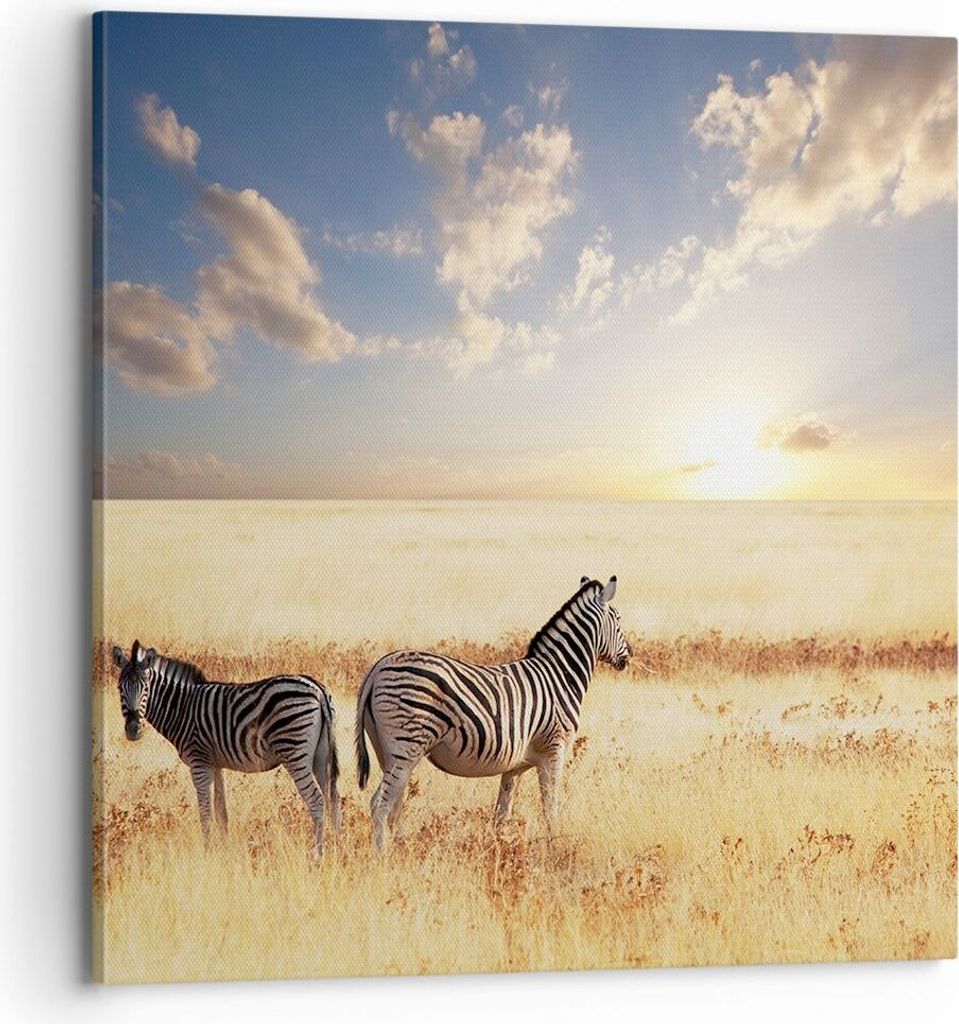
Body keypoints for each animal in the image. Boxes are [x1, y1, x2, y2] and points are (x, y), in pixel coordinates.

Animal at [111, 640, 341, 854]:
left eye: (146, 688)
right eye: (120, 688)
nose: (133, 730)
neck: (181, 708)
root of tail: (317, 689)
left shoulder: (199, 761)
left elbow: (205, 812)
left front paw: (207, 851)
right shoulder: (215, 763)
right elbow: (222, 813)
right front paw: (224, 849)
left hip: (295, 752)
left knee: (316, 800)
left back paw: (318, 853)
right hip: (320, 757)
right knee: (333, 799)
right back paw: (340, 847)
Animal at [354, 576, 631, 850]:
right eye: (618, 620)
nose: (630, 655)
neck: (559, 676)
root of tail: (378, 667)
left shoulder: (515, 764)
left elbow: (502, 814)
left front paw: (500, 849)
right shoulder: (554, 749)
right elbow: (549, 808)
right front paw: (554, 849)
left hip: (388, 751)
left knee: (391, 805)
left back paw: (400, 850)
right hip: (406, 747)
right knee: (381, 805)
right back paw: (382, 856)